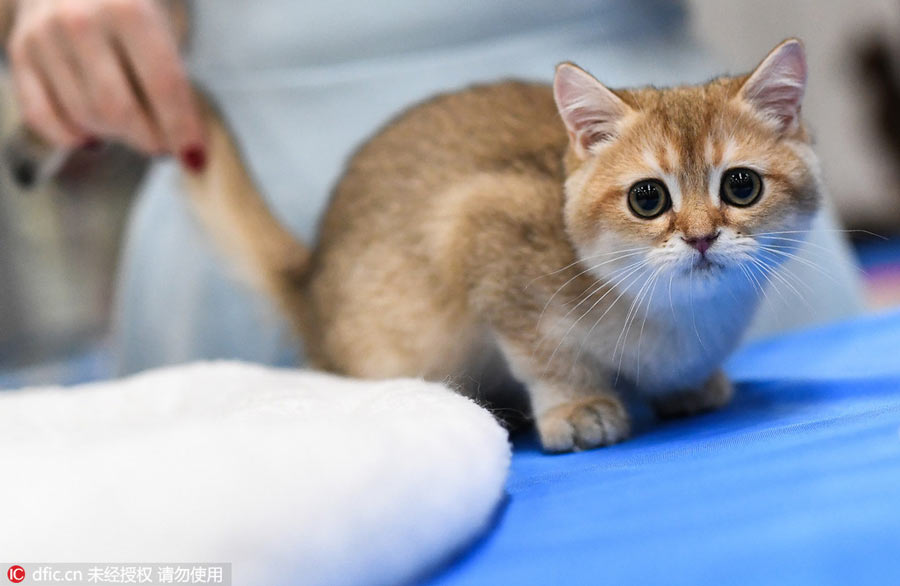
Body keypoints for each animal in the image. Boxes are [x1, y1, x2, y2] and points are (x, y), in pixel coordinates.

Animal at [186, 38, 820, 452]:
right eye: (648, 198)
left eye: (741, 186)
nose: (700, 236)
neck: (682, 315)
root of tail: (310, 278)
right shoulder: (478, 224)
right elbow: (545, 355)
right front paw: (577, 406)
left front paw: (687, 387)